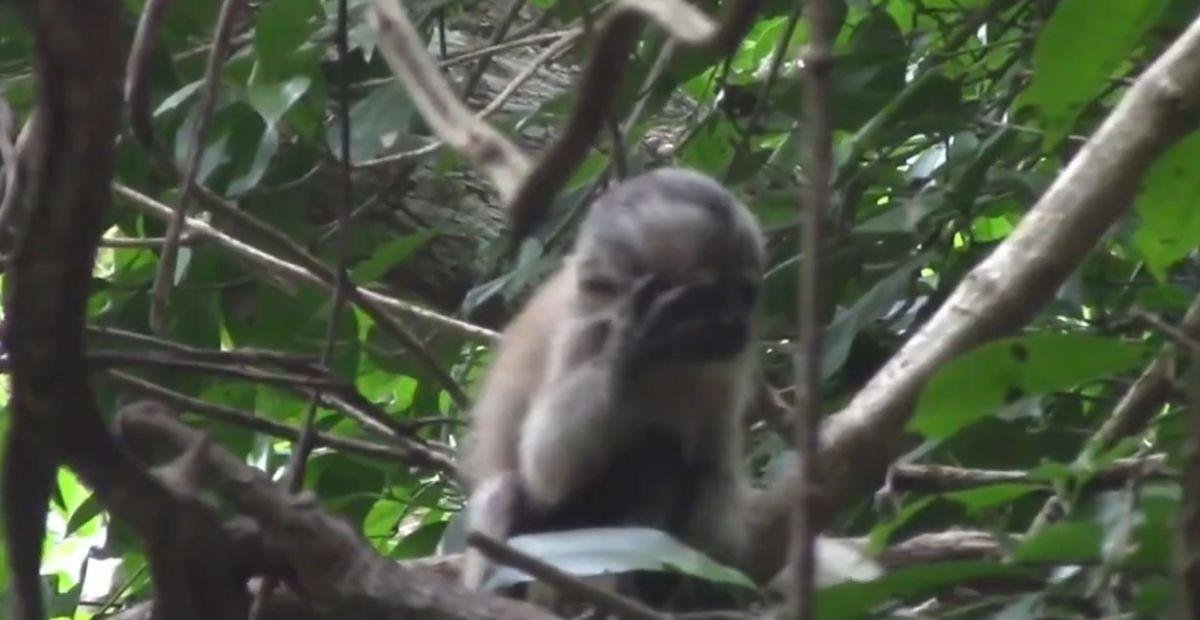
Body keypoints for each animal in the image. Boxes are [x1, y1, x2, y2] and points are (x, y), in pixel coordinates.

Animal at [458, 167, 766, 593]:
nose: (735, 322)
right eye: (706, 299)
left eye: (744, 294)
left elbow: (713, 471)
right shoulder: (585, 331)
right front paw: (631, 347)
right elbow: (547, 470)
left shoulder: (728, 368)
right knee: (512, 490)